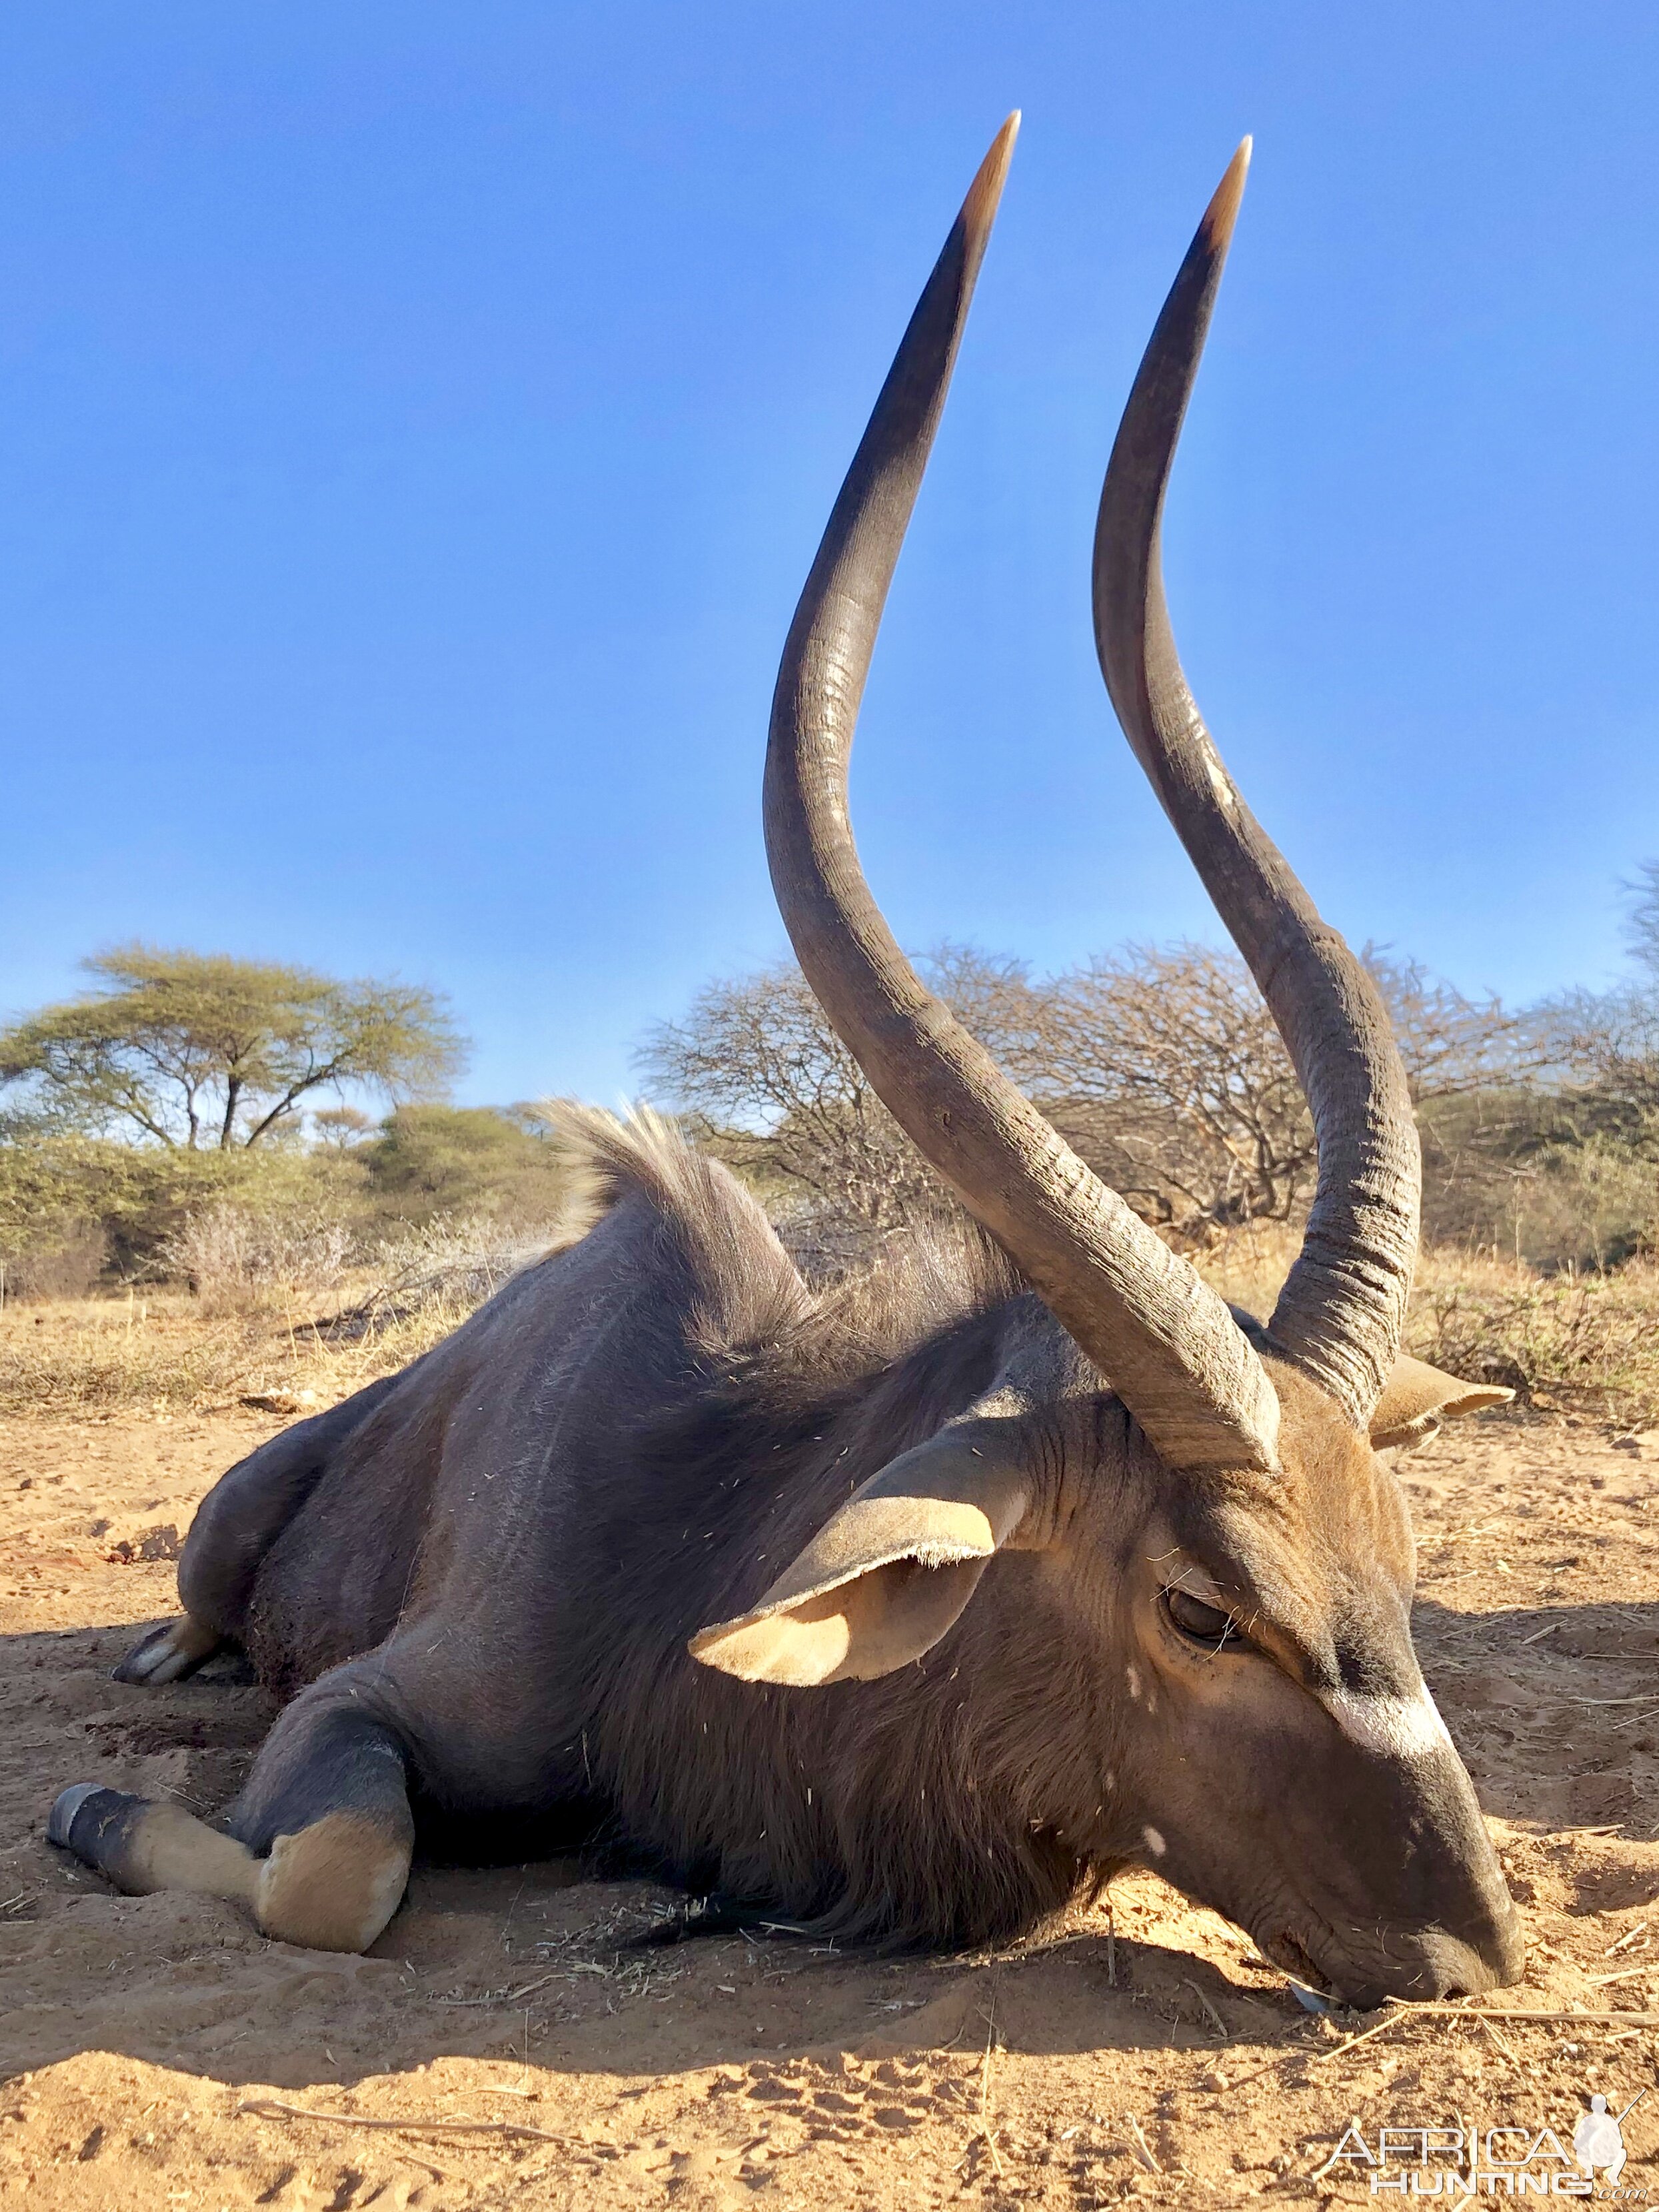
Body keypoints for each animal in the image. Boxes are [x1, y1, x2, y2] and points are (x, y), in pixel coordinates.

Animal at [49, 125, 1530, 2026]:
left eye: (1402, 1566)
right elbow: (333, 1875)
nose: (1460, 1953)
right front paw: (89, 1812)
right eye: (1201, 1609)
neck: (687, 1509)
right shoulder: (370, 1709)